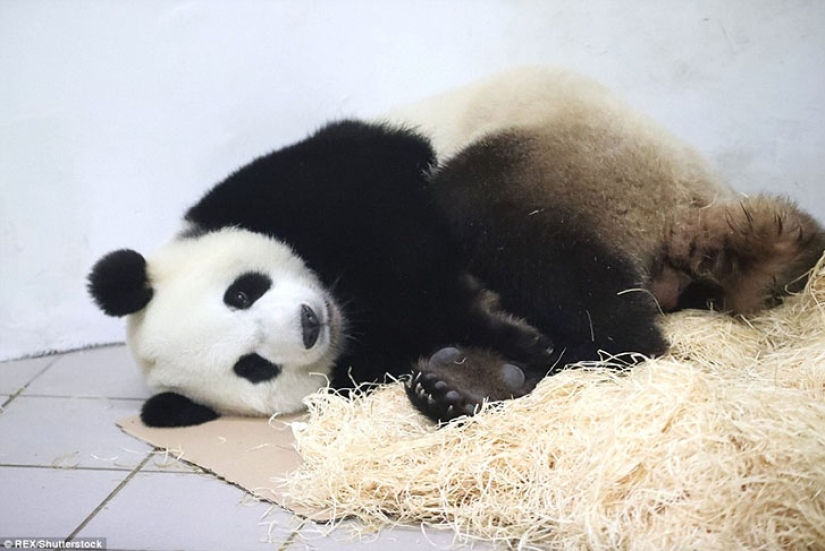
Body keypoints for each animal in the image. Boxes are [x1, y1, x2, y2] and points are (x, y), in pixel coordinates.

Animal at [87, 68, 820, 426]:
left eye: (241, 292)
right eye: (251, 366)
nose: (307, 324)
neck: (340, 292)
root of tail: (685, 215)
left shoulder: (316, 177)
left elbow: (403, 237)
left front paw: (505, 336)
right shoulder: (365, 348)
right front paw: (493, 350)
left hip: (575, 161)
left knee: (508, 228)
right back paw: (462, 386)